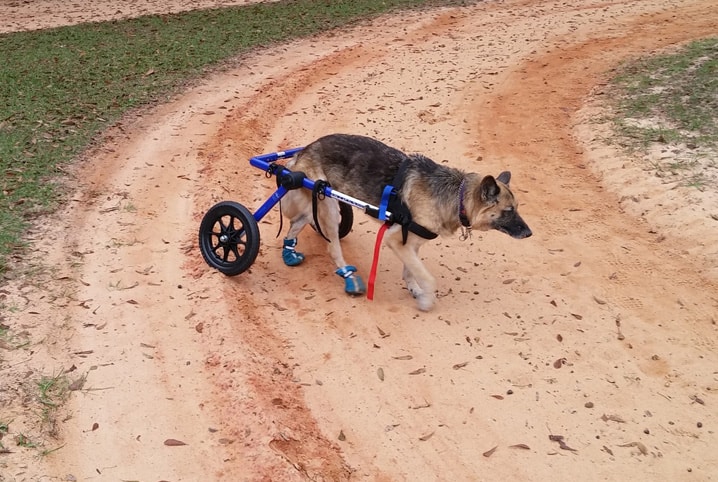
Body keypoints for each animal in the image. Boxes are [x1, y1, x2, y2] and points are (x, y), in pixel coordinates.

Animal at [282, 134, 536, 310]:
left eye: (517, 208)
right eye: (509, 211)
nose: (529, 233)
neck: (457, 196)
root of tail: (304, 150)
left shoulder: (410, 243)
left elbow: (411, 271)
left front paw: (414, 289)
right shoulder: (395, 240)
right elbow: (428, 278)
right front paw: (426, 300)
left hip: (318, 204)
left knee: (297, 221)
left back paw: (289, 252)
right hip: (328, 203)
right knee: (332, 248)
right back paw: (349, 277)